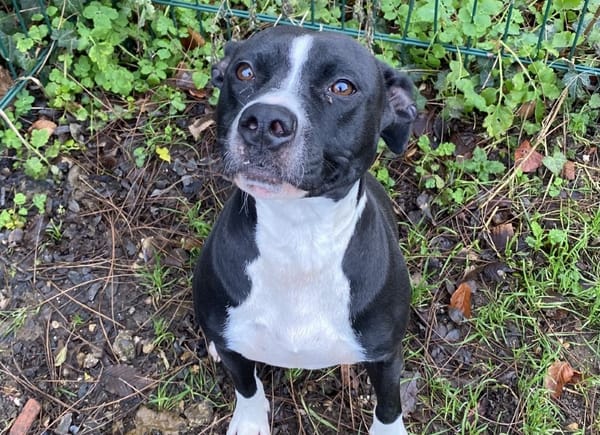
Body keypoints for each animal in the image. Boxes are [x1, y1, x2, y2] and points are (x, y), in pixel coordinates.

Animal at [193, 26, 416, 434]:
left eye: (342, 87)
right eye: (244, 72)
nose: (265, 120)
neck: (298, 237)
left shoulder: (385, 354)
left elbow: (390, 404)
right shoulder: (236, 350)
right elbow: (246, 384)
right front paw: (250, 420)